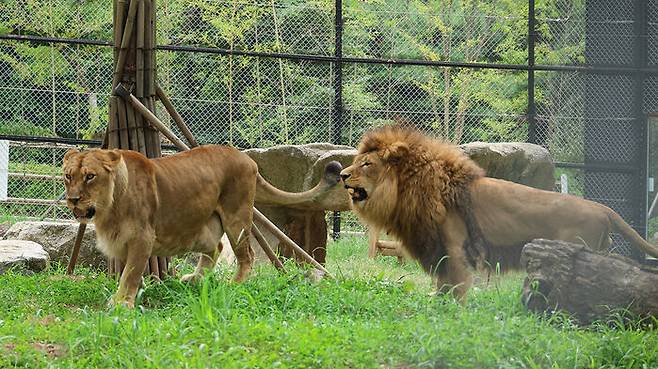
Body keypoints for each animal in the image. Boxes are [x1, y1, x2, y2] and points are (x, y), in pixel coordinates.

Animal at [63, 145, 340, 306]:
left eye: (90, 176)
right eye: (68, 175)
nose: (73, 199)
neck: (109, 206)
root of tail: (246, 157)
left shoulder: (143, 237)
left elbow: (130, 273)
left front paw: (122, 303)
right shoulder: (121, 240)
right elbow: (128, 271)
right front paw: (132, 294)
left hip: (236, 217)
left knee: (247, 254)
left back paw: (235, 284)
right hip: (203, 226)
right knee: (216, 248)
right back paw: (195, 279)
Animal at [338, 125, 656, 300]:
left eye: (366, 164)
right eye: (357, 161)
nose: (342, 174)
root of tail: (603, 207)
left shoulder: (455, 250)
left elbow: (456, 288)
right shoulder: (439, 251)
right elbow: (441, 286)